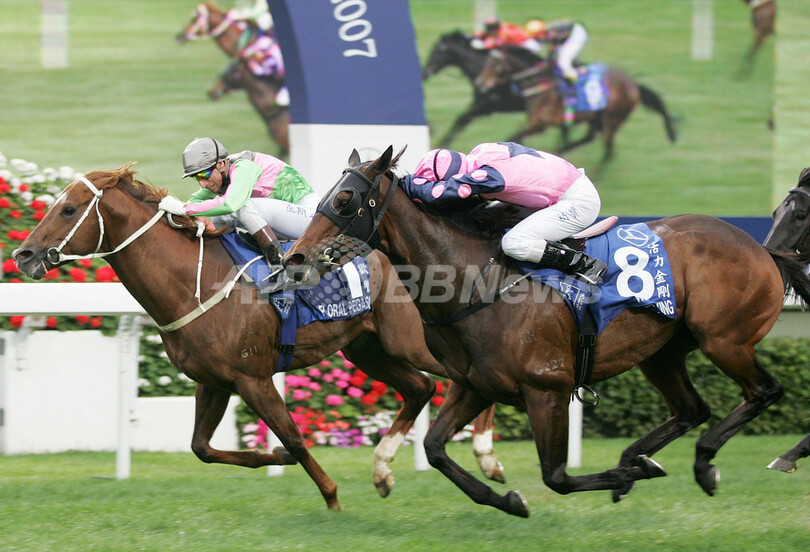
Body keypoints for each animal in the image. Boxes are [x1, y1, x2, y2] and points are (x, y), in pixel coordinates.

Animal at [12, 162, 502, 512]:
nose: (24, 254)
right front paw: (275, 461)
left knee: (473, 377)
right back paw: (389, 468)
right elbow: (202, 448)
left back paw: (485, 452)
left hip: (414, 343)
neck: (195, 281)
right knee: (422, 387)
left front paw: (331, 496)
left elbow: (295, 437)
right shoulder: (213, 380)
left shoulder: (253, 377)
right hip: (367, 348)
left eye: (68, 209)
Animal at [282, 147, 808, 516]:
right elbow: (435, 450)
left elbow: (556, 475)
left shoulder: (547, 389)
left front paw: (613, 479)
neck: (476, 281)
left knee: (763, 391)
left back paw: (698, 462)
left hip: (726, 340)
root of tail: (762, 250)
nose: (295, 257)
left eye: (345, 199)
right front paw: (508, 499)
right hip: (662, 351)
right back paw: (640, 458)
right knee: (691, 408)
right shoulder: (474, 385)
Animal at [474, 47, 676, 161]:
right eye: (486, 61)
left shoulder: (540, 124)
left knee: (608, 150)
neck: (540, 85)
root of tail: (634, 84)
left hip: (612, 119)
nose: (480, 83)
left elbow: (515, 136)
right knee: (590, 138)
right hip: (596, 118)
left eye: (494, 64)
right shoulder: (555, 123)